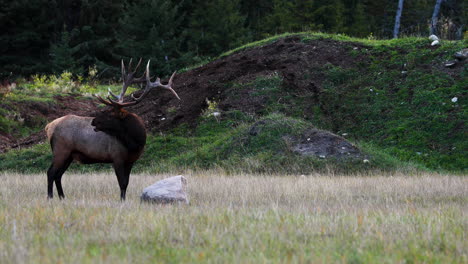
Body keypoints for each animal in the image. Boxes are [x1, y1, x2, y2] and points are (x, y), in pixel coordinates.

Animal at [44, 58, 179, 200]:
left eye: (110, 114)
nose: (93, 121)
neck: (135, 143)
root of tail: (49, 126)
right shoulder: (116, 157)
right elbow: (122, 183)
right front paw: (122, 200)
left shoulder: (131, 161)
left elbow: (126, 183)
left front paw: (123, 199)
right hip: (61, 150)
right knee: (50, 172)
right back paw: (50, 197)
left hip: (69, 155)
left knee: (58, 175)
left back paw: (62, 197)